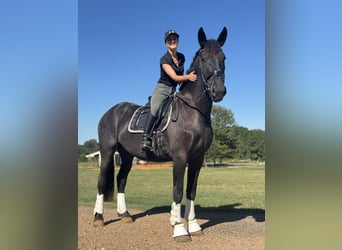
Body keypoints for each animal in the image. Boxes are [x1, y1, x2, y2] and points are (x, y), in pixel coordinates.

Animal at [93, 26, 227, 241]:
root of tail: (111, 111)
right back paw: (98, 218)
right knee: (101, 181)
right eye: (203, 58)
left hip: (127, 155)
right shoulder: (180, 157)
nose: (218, 91)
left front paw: (193, 226)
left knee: (121, 180)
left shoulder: (197, 158)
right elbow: (178, 191)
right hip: (107, 152)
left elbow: (191, 191)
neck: (193, 112)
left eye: (224, 58)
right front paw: (179, 229)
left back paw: (125, 215)